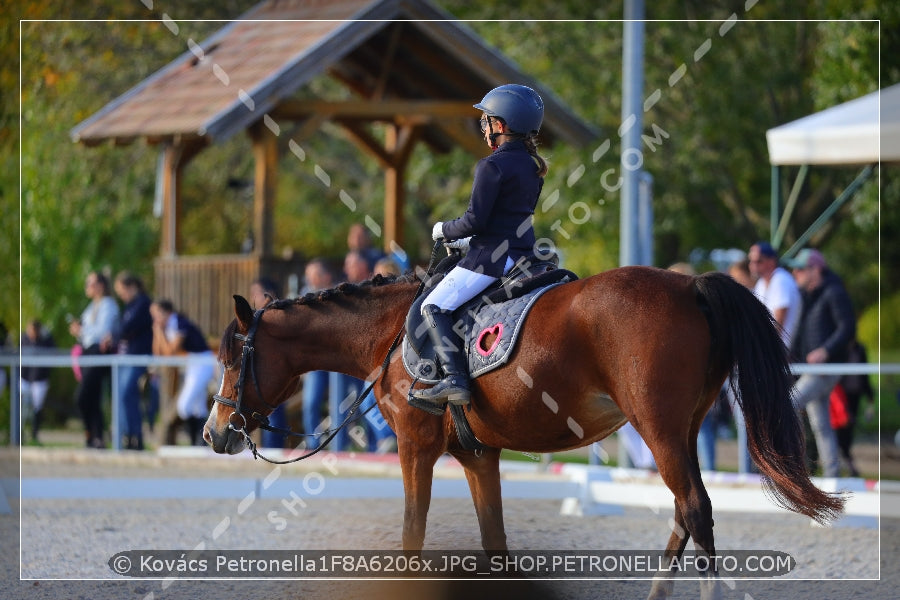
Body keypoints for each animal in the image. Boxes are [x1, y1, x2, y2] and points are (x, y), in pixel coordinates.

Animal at [204, 266, 844, 600]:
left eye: (233, 356)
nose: (214, 434)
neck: (388, 334)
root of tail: (689, 286)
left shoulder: (416, 447)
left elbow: (412, 535)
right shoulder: (477, 454)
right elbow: (495, 543)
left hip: (659, 429)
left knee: (695, 508)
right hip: (682, 431)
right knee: (684, 513)